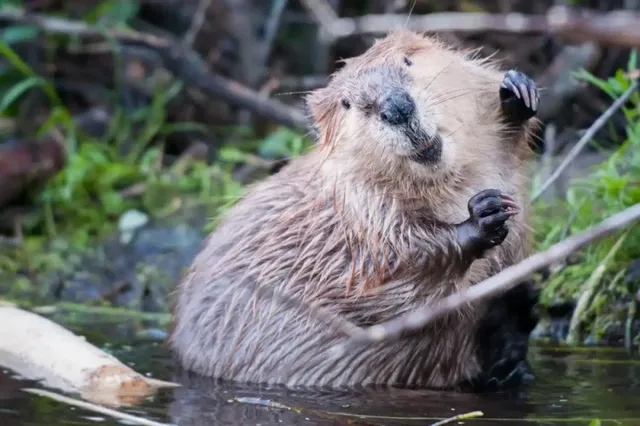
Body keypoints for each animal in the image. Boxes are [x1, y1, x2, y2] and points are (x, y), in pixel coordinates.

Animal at [169, 29, 540, 390]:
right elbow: (396, 278)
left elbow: (507, 143)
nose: (396, 107)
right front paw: (483, 214)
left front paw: (517, 92)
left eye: (407, 60)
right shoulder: (360, 213)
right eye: (347, 103)